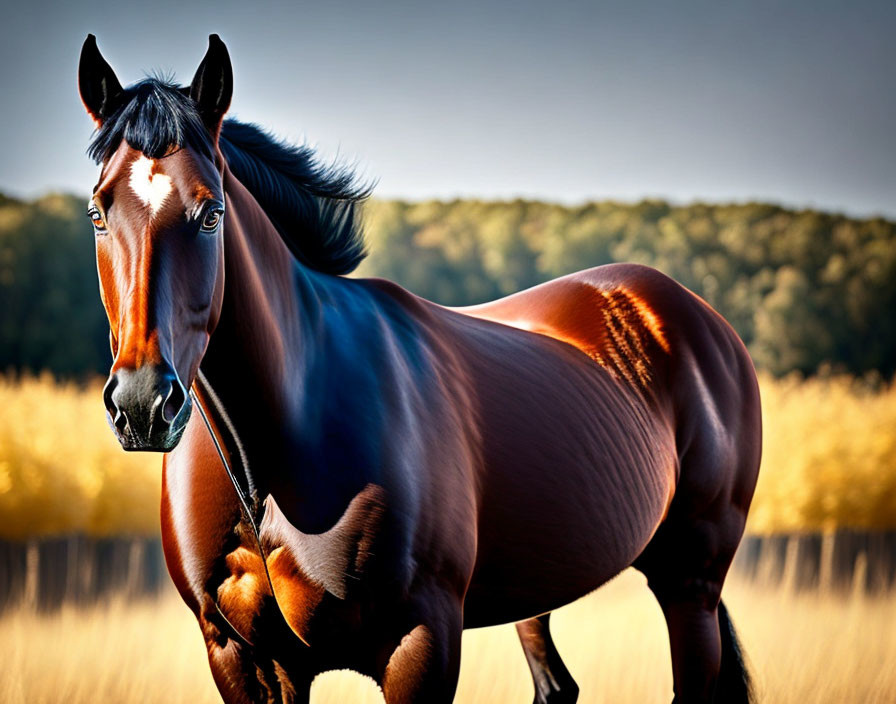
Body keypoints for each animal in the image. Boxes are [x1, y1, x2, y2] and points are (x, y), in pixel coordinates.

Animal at [80, 35, 760, 704]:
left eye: (210, 213)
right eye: (98, 212)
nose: (142, 404)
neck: (272, 459)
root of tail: (697, 318)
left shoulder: (420, 642)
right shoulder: (243, 658)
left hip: (690, 583)